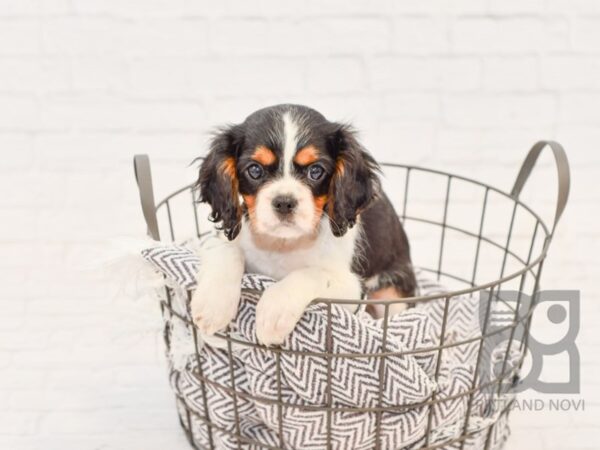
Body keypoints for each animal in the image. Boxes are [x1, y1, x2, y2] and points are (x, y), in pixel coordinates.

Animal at [193, 104, 418, 344]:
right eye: (254, 170)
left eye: (315, 171)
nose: (284, 202)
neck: (284, 244)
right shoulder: (217, 240)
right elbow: (227, 251)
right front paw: (212, 305)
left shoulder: (352, 287)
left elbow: (309, 274)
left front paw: (273, 311)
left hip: (393, 293)